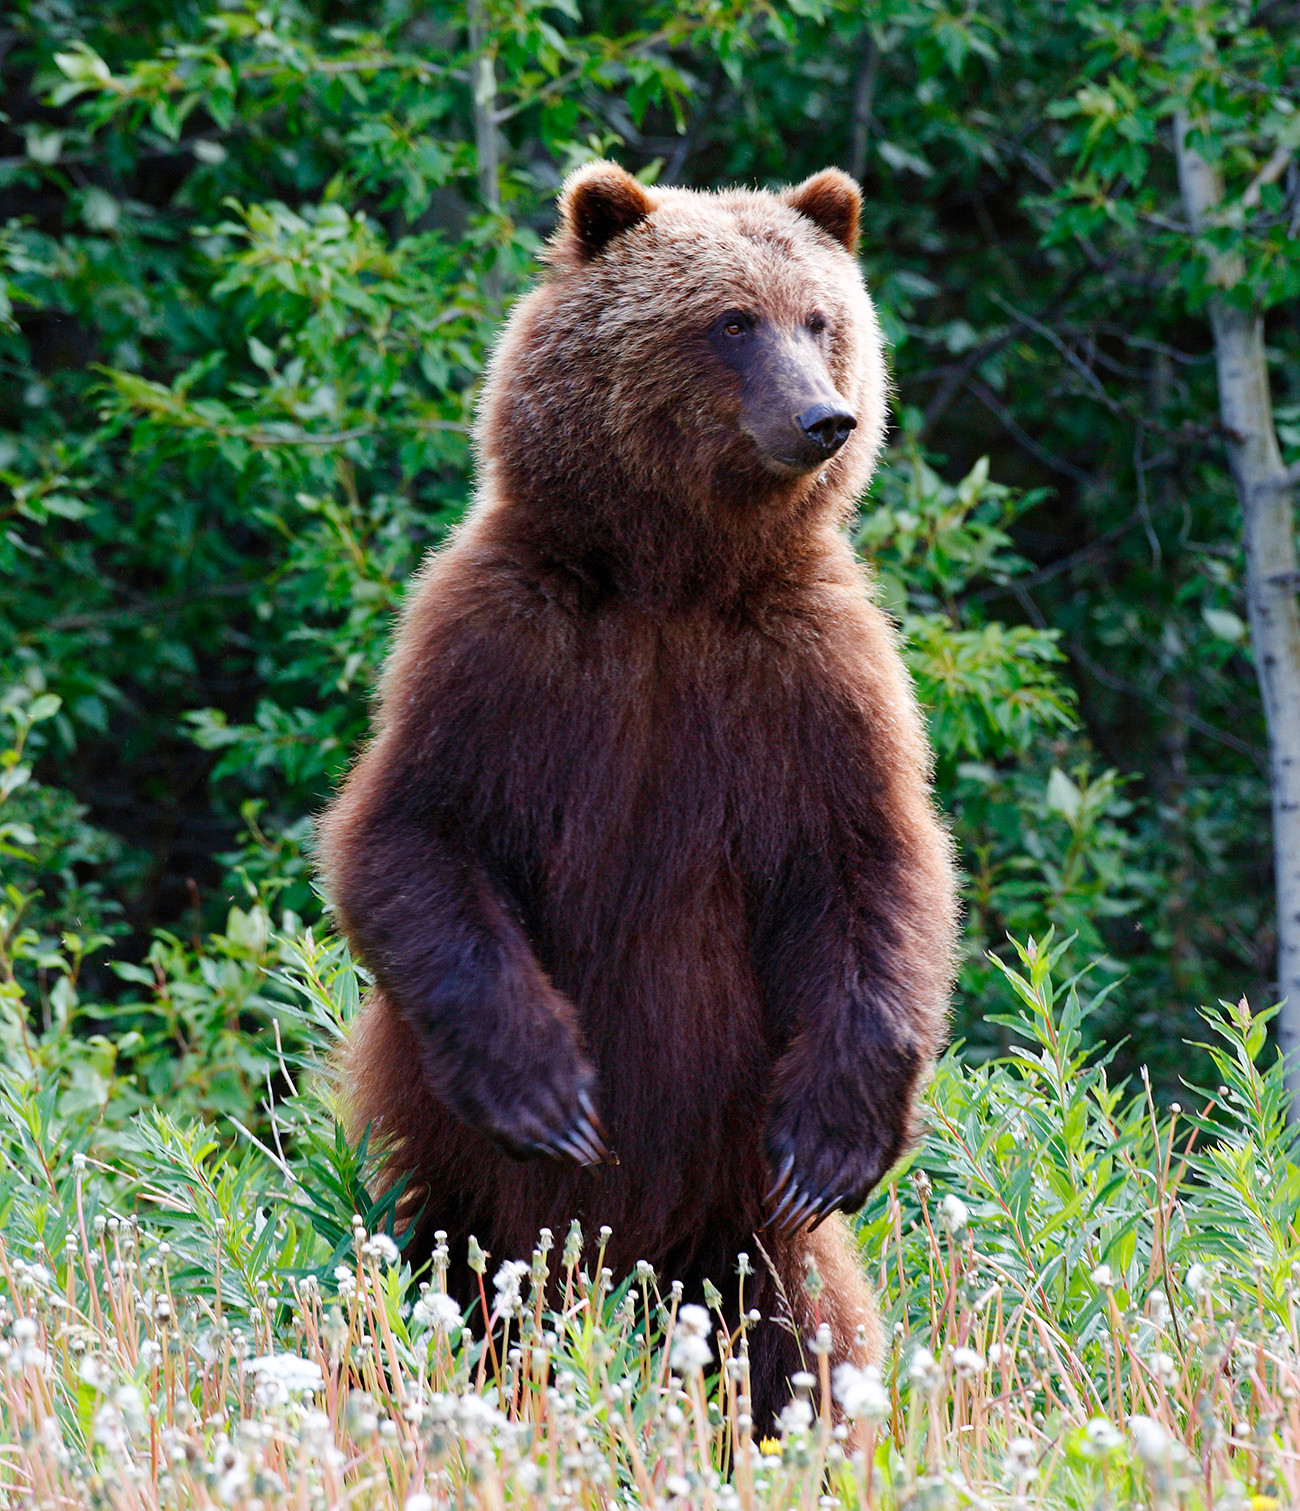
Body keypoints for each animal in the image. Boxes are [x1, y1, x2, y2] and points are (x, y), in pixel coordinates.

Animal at [320, 165, 961, 1426]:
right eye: (731, 320)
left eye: (823, 318)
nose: (824, 418)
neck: (675, 578)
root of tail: (629, 1247)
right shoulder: (503, 645)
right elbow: (411, 834)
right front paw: (548, 1088)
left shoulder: (811, 674)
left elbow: (874, 866)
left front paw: (837, 1137)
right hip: (473, 1209)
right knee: (450, 1306)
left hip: (733, 1207)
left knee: (798, 1325)